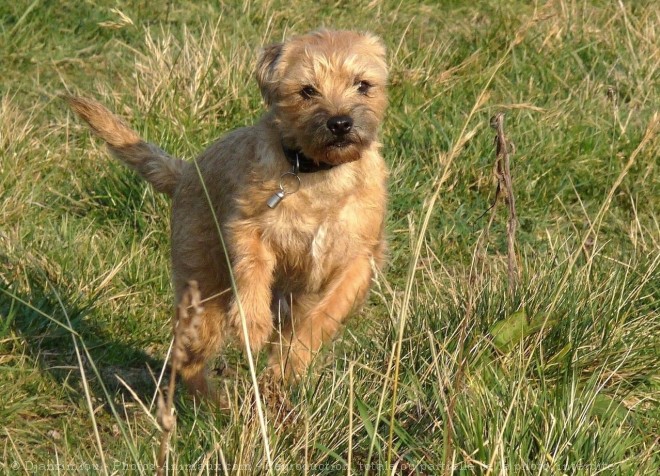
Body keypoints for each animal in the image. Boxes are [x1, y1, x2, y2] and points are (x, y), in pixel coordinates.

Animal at [68, 29, 386, 400]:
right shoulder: (247, 226)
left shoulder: (359, 258)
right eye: (308, 90)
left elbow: (325, 313)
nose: (340, 123)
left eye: (362, 84)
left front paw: (289, 364)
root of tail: (185, 172)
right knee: (187, 358)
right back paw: (209, 404)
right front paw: (253, 323)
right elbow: (253, 268)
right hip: (203, 292)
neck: (317, 174)